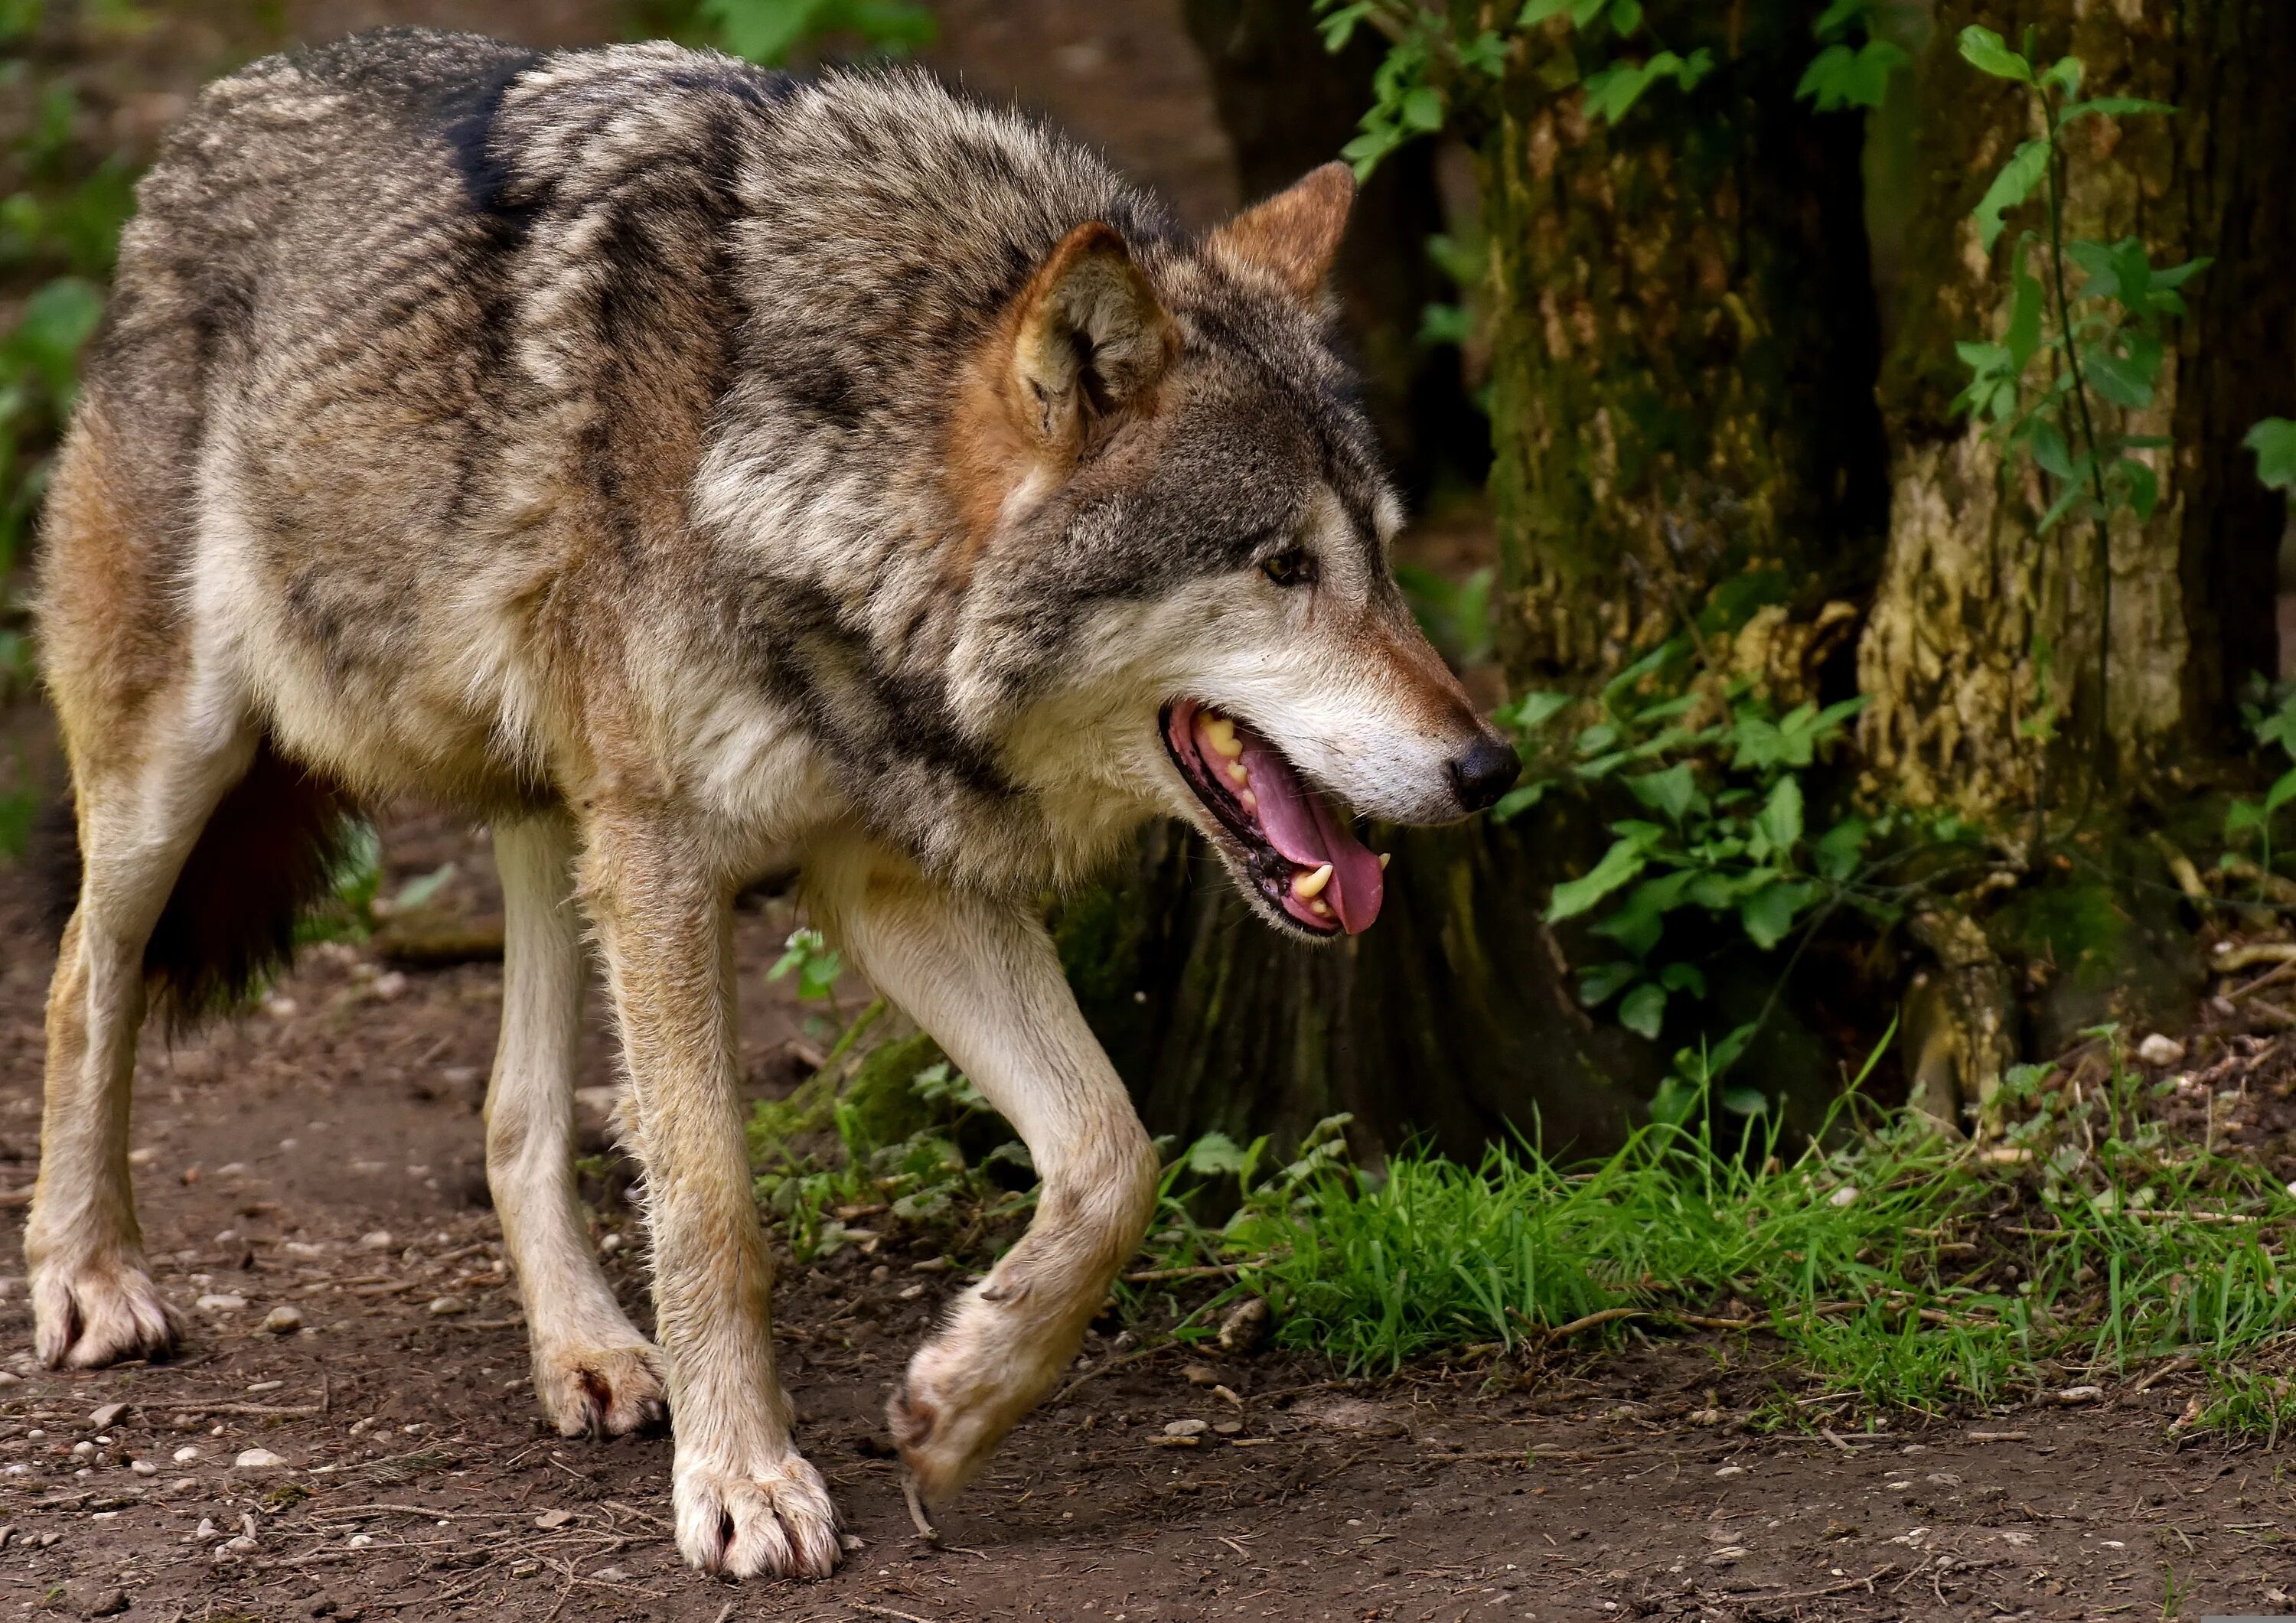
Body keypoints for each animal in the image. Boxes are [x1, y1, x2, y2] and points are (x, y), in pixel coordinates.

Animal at [27, 31, 1525, 1579]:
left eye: (1387, 560)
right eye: (1283, 566)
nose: (1489, 768)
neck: (814, 481)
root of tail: (217, 105)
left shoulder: (888, 883)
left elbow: (1117, 1158)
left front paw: (960, 1403)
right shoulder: (673, 861)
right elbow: (713, 1202)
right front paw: (742, 1479)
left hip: (558, 819)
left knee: (514, 1112)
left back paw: (589, 1353)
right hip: (186, 765)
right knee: (84, 978)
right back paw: (89, 1278)